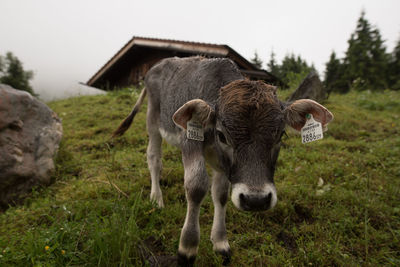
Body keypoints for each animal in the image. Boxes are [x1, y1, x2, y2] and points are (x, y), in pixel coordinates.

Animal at [111, 57, 332, 266]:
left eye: (280, 135)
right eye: (222, 135)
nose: (256, 200)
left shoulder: (223, 164)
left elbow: (221, 194)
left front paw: (220, 243)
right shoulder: (189, 140)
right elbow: (196, 186)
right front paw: (187, 248)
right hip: (153, 119)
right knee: (154, 159)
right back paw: (156, 199)